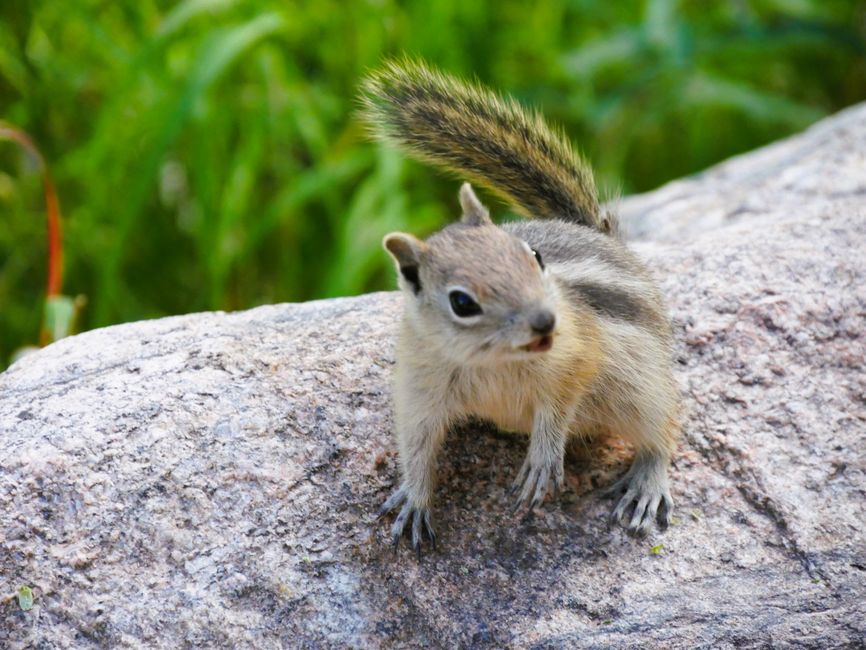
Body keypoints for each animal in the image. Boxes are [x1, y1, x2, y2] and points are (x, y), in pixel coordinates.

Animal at [362, 62, 680, 556]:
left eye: (533, 256)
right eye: (462, 302)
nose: (547, 320)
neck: (493, 362)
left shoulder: (576, 354)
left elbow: (560, 403)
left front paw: (542, 460)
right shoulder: (420, 385)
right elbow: (415, 441)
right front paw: (413, 497)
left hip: (641, 386)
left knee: (661, 428)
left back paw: (647, 484)